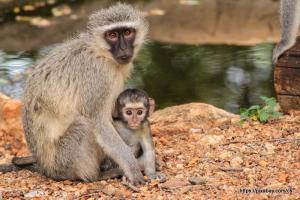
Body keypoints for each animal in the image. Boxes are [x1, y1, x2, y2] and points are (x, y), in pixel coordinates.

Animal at [20, 3, 148, 184]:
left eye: (128, 32)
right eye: (112, 35)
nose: (124, 49)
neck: (101, 53)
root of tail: (45, 168)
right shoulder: (99, 76)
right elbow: (99, 122)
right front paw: (133, 169)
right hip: (63, 161)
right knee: (84, 126)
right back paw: (94, 175)